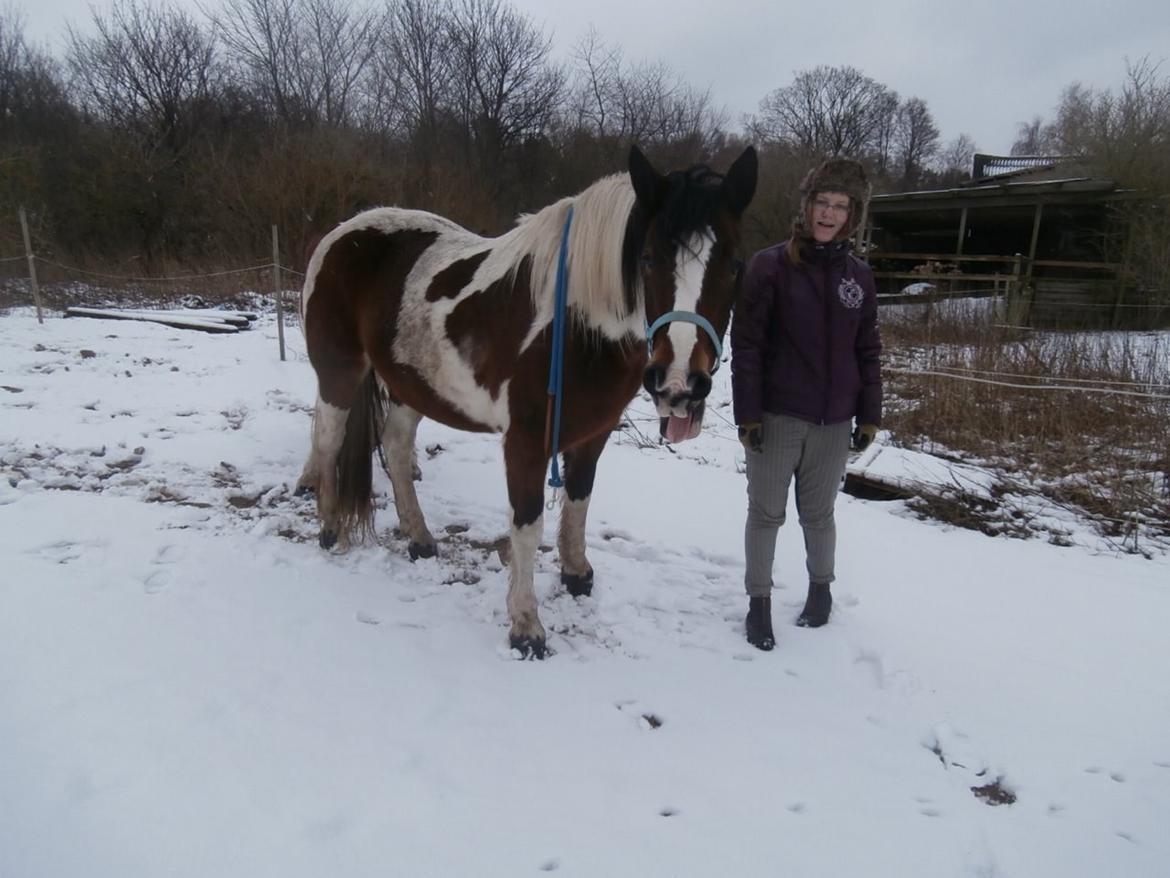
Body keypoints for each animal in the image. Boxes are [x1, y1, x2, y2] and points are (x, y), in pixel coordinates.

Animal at [294, 144, 758, 655]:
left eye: (735, 264)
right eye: (650, 259)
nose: (679, 385)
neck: (575, 325)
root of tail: (344, 231)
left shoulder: (594, 433)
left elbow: (579, 499)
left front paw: (577, 574)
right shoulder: (526, 442)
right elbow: (527, 525)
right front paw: (525, 626)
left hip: (411, 385)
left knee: (395, 448)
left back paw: (419, 538)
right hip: (339, 373)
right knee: (329, 439)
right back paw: (329, 527)